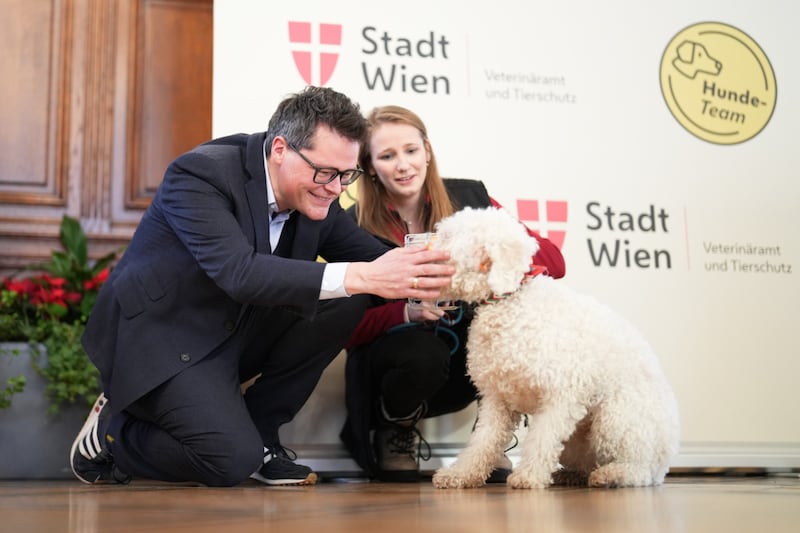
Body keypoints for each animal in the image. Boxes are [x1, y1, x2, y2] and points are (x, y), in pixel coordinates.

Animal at [428, 206, 680, 488]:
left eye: (447, 236)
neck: (509, 303)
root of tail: (666, 456)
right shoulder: (496, 400)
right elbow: (482, 442)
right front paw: (460, 474)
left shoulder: (560, 397)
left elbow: (541, 440)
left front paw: (528, 475)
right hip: (579, 441)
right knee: (588, 463)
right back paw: (570, 474)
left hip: (616, 417)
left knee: (640, 468)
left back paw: (613, 474)